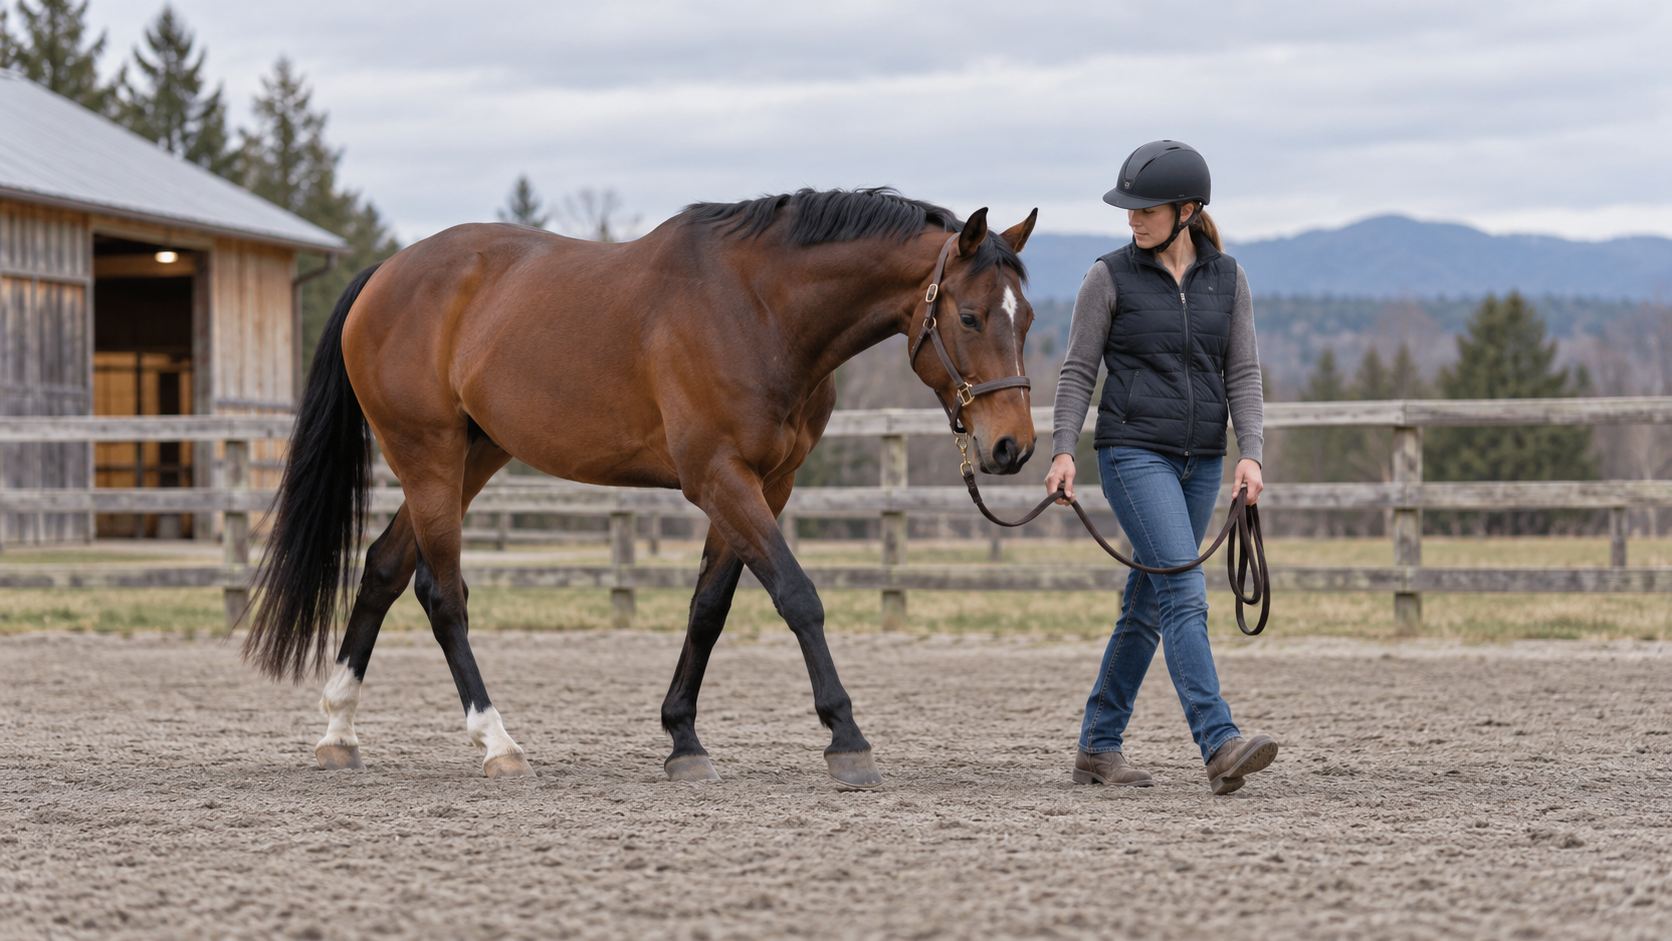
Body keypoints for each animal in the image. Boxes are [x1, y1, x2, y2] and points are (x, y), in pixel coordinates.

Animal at [245, 187, 1039, 789]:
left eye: (1026, 316)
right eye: (970, 315)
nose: (1012, 446)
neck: (760, 309)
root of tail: (385, 274)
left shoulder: (766, 484)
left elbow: (709, 609)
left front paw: (683, 740)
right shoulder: (719, 477)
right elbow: (798, 595)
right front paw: (847, 737)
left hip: (472, 456)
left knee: (382, 566)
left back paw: (340, 728)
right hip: (429, 457)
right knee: (442, 594)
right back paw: (498, 743)